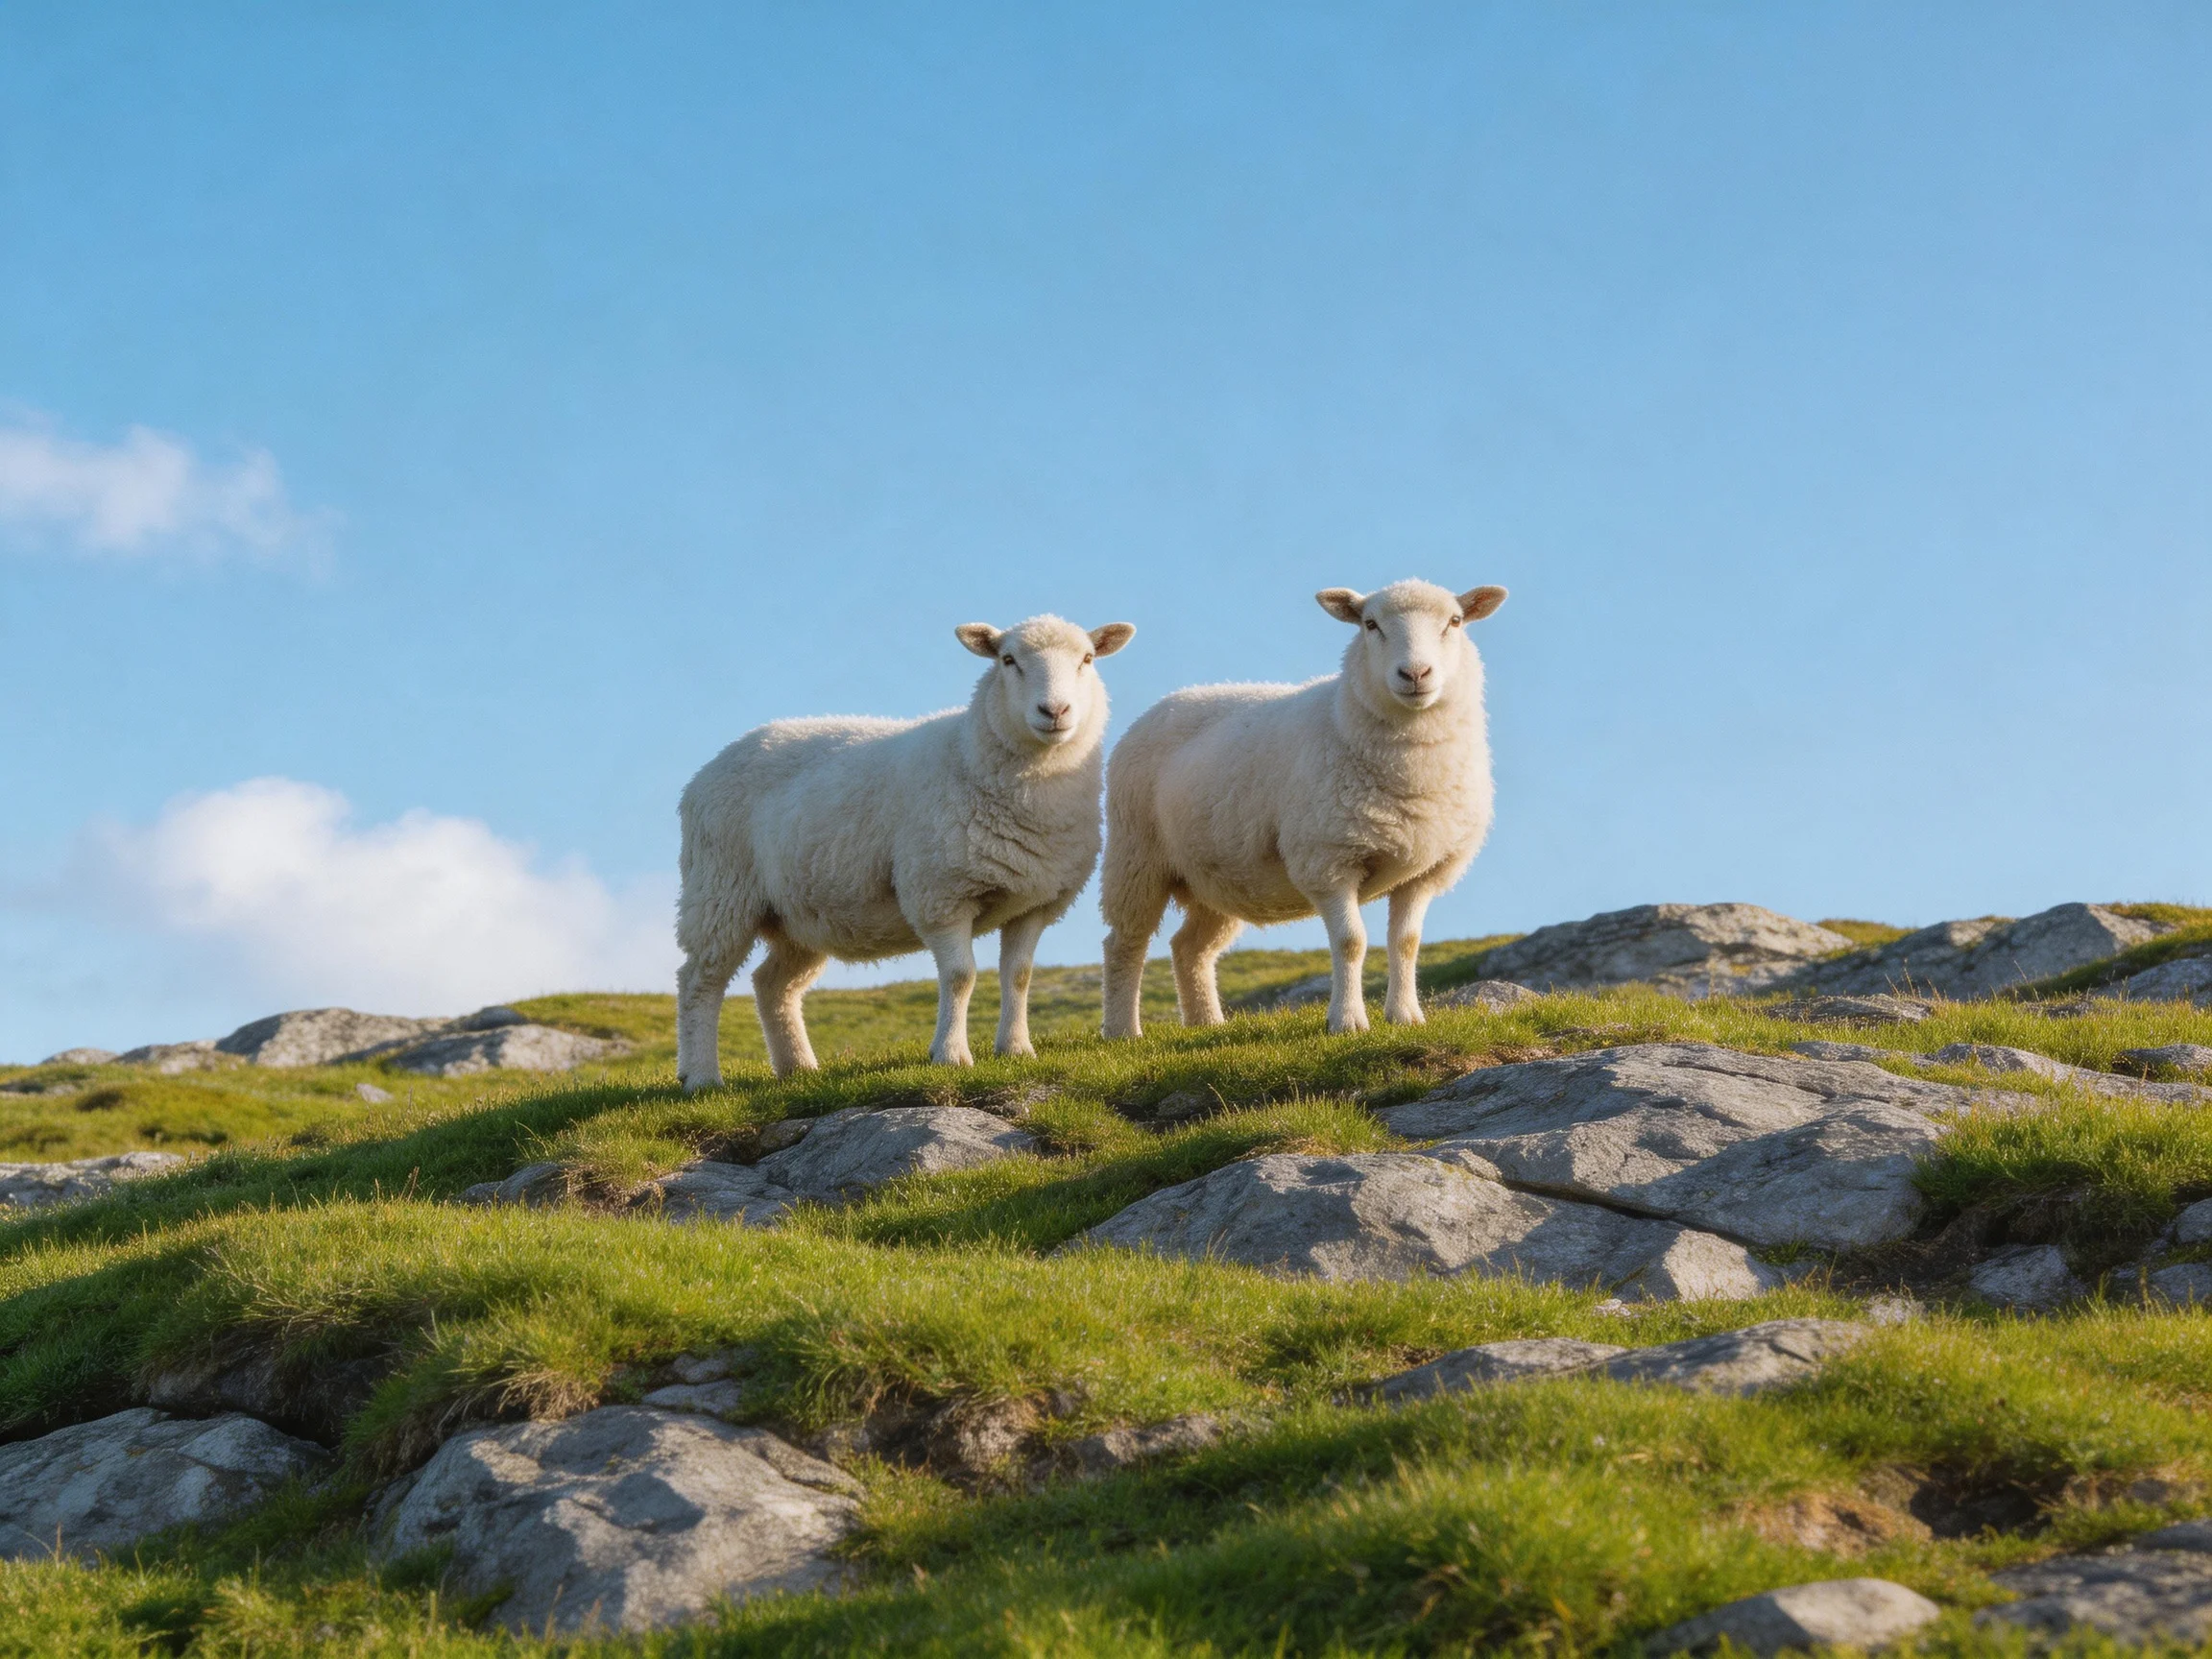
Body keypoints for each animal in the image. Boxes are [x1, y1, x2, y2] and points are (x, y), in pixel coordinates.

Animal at [676, 614, 1135, 1085]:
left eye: (1087, 659)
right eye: (1008, 660)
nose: (1054, 711)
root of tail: (706, 771)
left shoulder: (1035, 902)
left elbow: (1019, 976)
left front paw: (1016, 1049)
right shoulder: (941, 894)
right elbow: (960, 976)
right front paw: (950, 1054)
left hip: (798, 914)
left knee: (772, 984)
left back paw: (798, 1067)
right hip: (720, 891)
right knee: (699, 981)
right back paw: (701, 1076)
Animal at [1099, 579, 1506, 1039]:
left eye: (1454, 621)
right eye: (1370, 624)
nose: (1415, 674)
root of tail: (1168, 702)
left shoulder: (1424, 870)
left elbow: (1406, 942)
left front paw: (1405, 1016)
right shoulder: (1327, 860)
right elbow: (1351, 942)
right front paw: (1347, 1021)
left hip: (1215, 876)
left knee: (1189, 947)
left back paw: (1208, 1025)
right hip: (1136, 856)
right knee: (1125, 942)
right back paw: (1122, 1031)